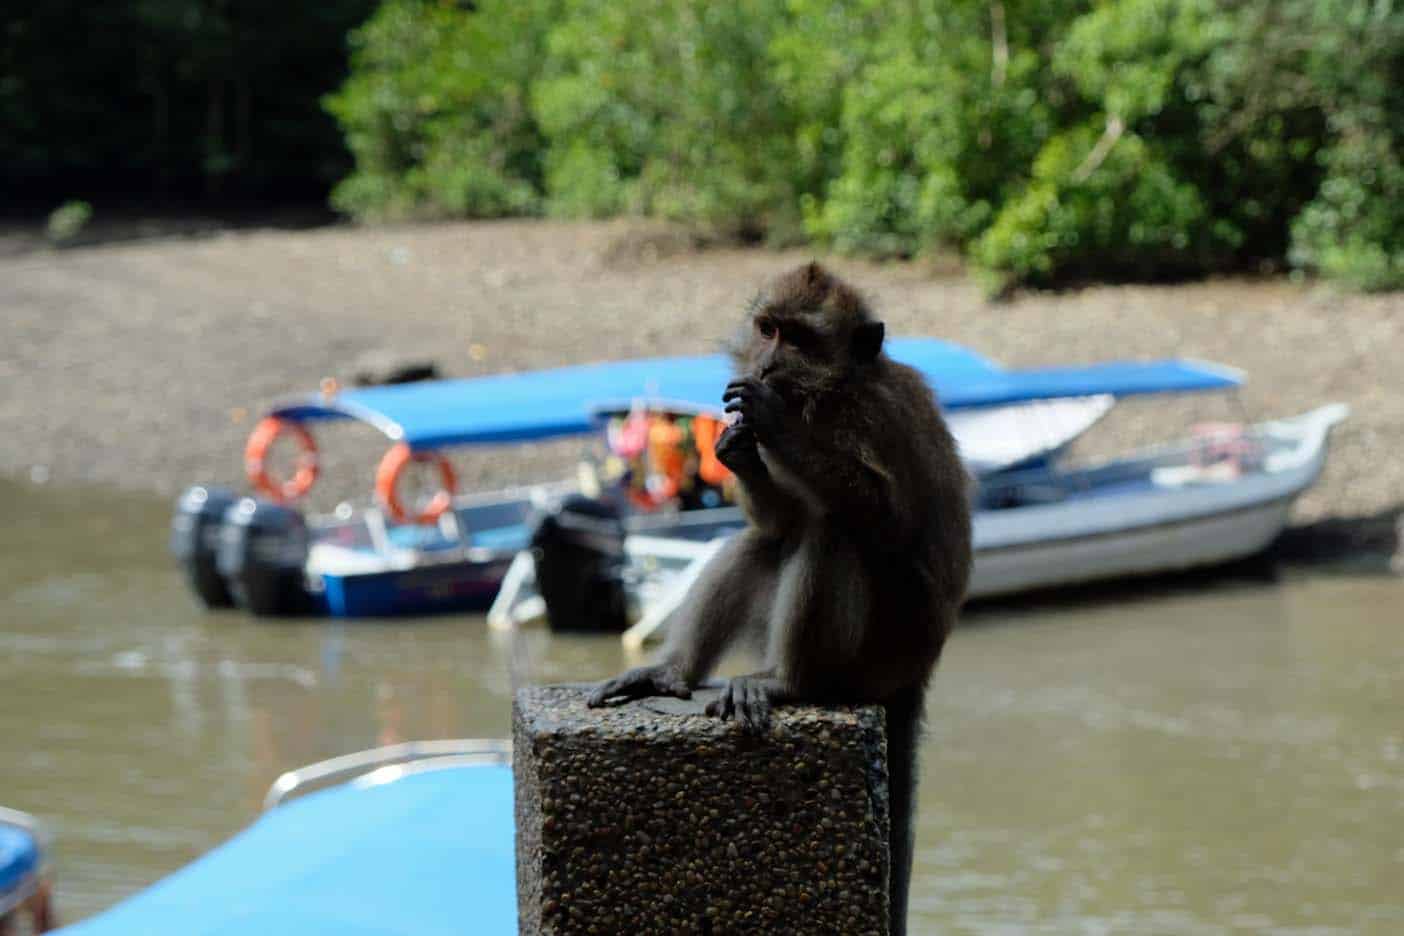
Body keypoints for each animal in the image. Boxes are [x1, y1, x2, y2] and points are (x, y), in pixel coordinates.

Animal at [586, 259, 971, 931]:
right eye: (767, 328)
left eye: (799, 339)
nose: (763, 365)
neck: (829, 394)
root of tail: (917, 671)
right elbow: (777, 523)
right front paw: (736, 448)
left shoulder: (872, 418)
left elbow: (887, 524)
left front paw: (774, 421)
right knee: (768, 540)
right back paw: (673, 672)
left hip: (873, 659)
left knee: (833, 534)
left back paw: (791, 683)